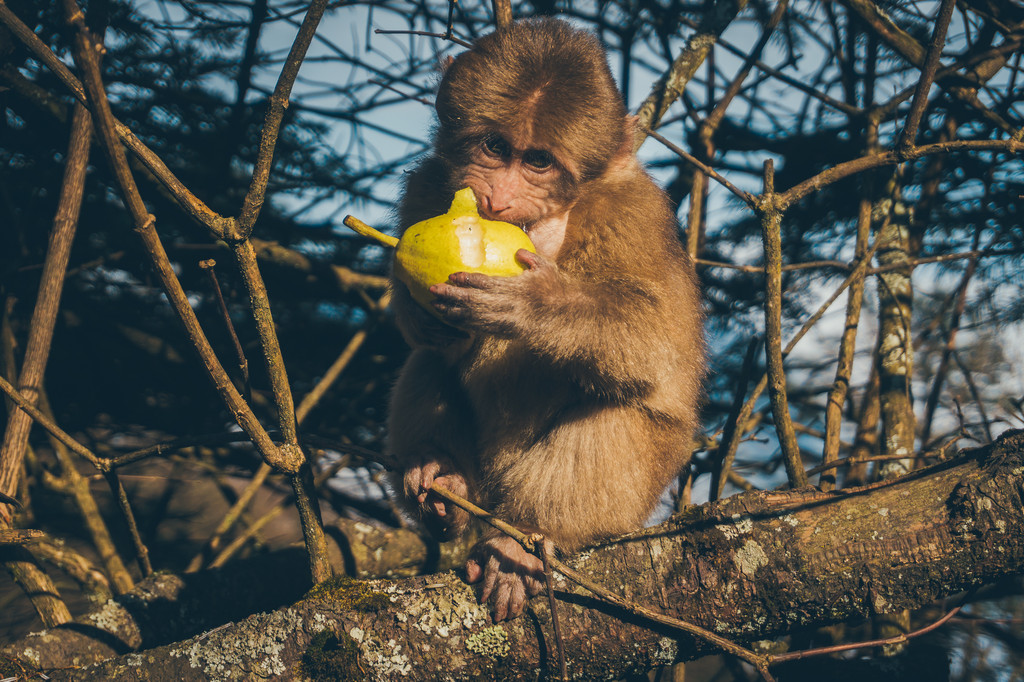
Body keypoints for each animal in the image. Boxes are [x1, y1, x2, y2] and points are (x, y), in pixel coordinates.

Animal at [385, 17, 704, 622]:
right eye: (494, 147)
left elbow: (655, 341)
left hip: (632, 491)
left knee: (615, 413)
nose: (497, 197)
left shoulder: (634, 214)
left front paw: (537, 305)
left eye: (538, 162)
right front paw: (411, 307)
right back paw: (443, 478)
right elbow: (423, 332)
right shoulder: (428, 184)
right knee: (428, 362)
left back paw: (523, 542)